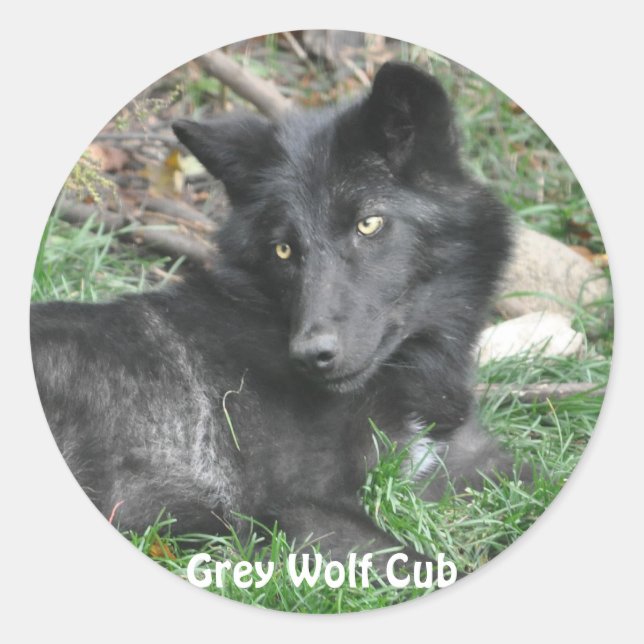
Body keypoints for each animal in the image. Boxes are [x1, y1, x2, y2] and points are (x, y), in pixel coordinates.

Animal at [31, 62, 524, 572]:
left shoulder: (465, 456)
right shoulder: (292, 512)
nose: (311, 355)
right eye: (283, 249)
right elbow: (422, 564)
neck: (410, 371)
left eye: (368, 224)